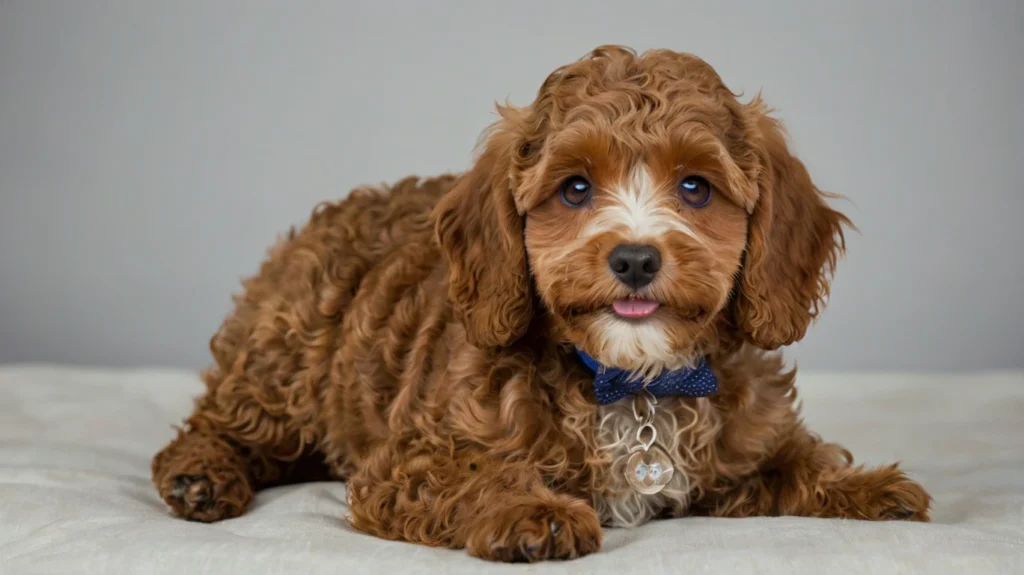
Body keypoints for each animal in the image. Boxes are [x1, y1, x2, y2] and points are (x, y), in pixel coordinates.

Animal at [153, 44, 937, 560]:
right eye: (575, 188)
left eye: (695, 187)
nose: (635, 258)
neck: (633, 381)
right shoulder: (407, 459)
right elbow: (474, 470)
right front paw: (527, 507)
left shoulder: (743, 448)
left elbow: (792, 460)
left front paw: (861, 485)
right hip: (289, 350)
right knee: (221, 420)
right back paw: (201, 474)